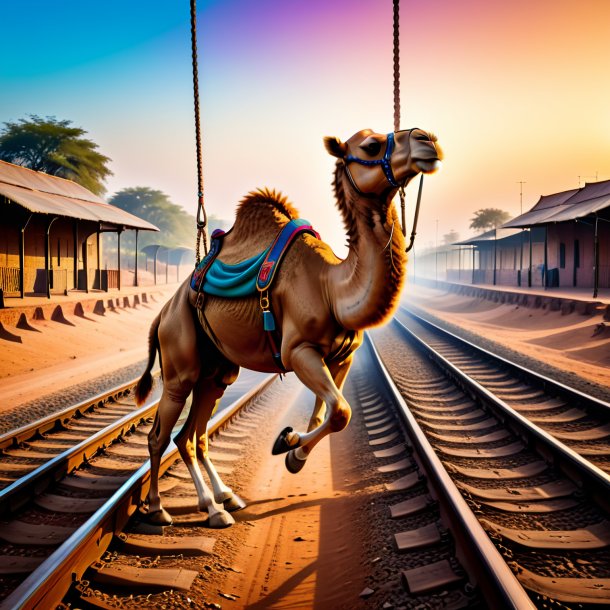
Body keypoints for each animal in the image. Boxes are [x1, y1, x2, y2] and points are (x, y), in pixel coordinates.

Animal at [135, 126, 440, 524]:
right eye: (371, 145)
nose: (428, 140)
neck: (332, 287)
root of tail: (162, 312)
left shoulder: (343, 356)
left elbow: (327, 411)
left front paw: (293, 448)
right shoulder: (297, 350)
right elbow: (341, 411)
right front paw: (288, 445)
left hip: (215, 372)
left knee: (192, 436)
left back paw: (221, 502)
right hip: (179, 357)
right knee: (161, 434)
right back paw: (159, 509)